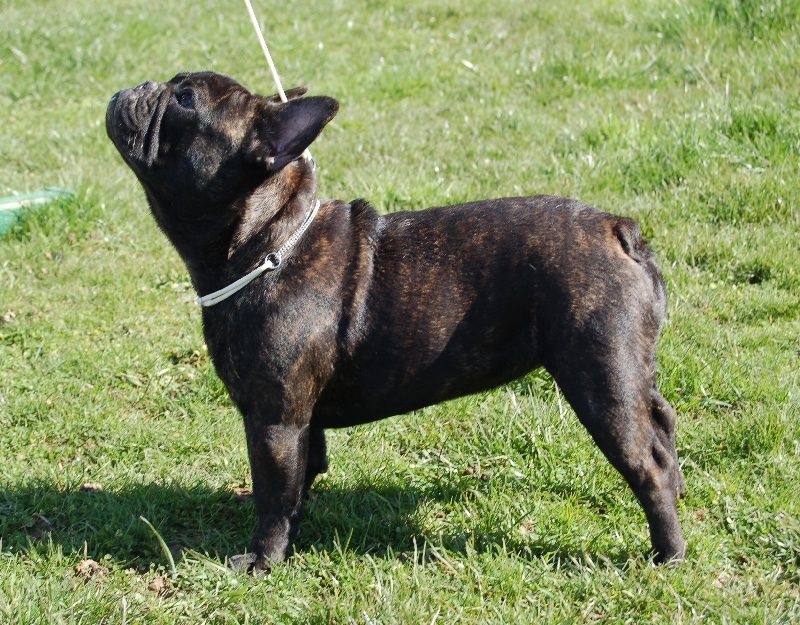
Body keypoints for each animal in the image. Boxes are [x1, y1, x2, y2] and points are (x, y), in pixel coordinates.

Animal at [106, 71, 686, 571]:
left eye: (185, 100)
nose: (142, 86)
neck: (272, 245)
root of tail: (619, 229)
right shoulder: (302, 422)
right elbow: (298, 485)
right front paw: (293, 537)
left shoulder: (274, 421)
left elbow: (272, 493)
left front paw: (262, 560)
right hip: (629, 371)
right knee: (662, 425)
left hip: (599, 379)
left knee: (647, 464)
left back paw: (668, 554)